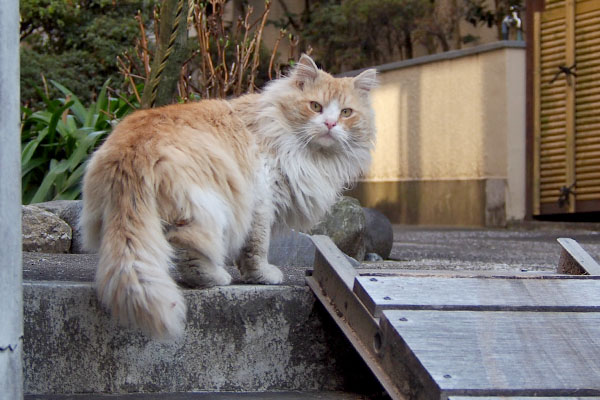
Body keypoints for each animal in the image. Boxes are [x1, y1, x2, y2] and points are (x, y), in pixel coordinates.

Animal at [79, 55, 378, 338]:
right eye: (315, 106)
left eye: (346, 113)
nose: (330, 123)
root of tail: (132, 151)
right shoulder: (262, 199)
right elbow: (257, 247)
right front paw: (261, 276)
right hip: (208, 206)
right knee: (189, 250)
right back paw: (215, 278)